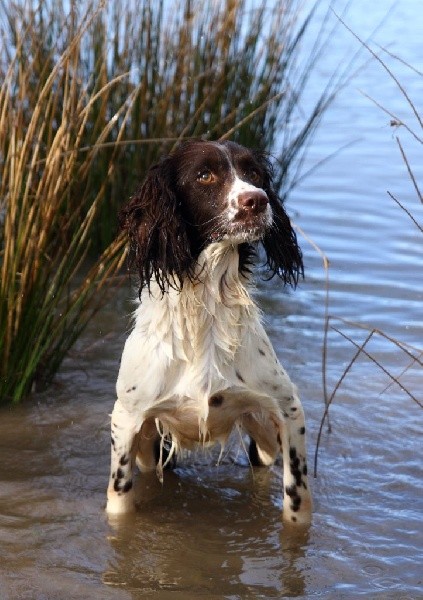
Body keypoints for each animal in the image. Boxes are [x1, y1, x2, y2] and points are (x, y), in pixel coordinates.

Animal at [107, 138, 314, 524]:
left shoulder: (288, 409)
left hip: (263, 435)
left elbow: (297, 498)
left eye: (253, 172)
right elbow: (119, 499)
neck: (206, 309)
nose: (257, 200)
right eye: (204, 175)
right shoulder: (127, 419)